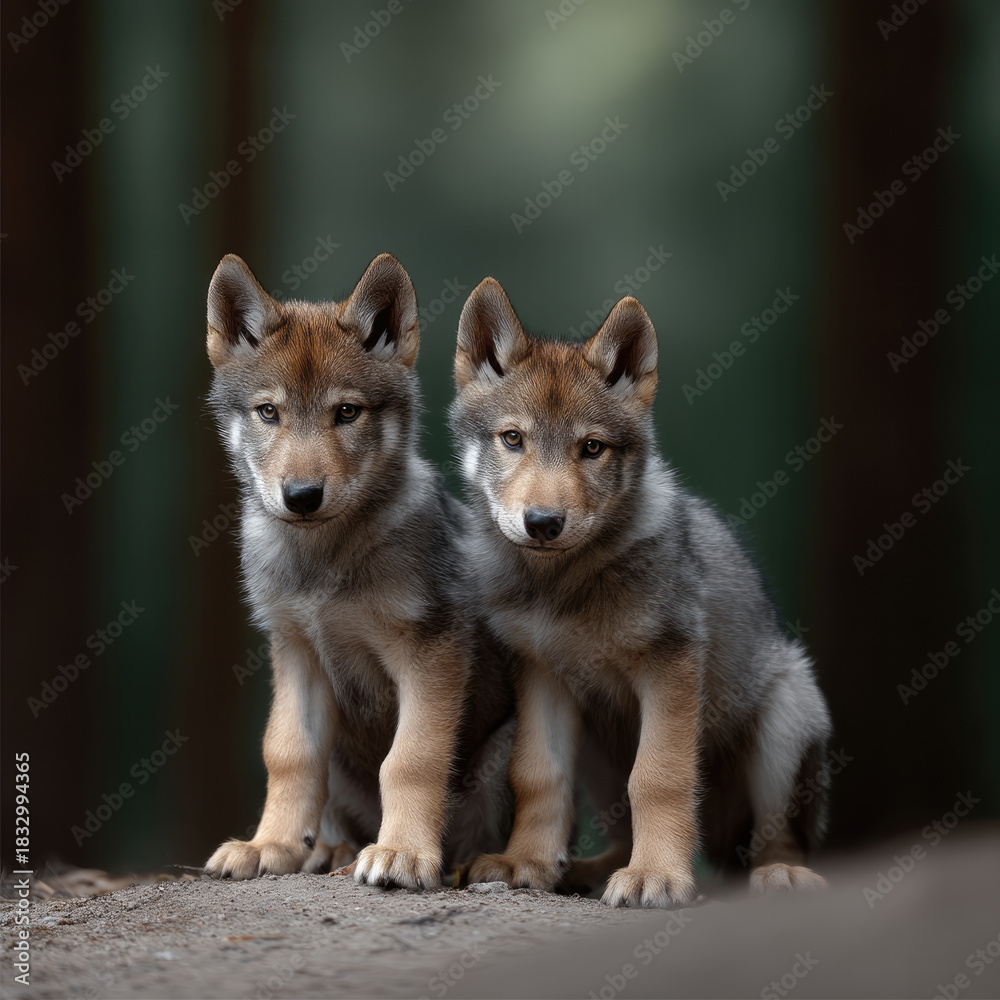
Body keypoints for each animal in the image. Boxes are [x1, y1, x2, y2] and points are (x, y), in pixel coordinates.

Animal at [202, 253, 513, 888]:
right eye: (268, 412)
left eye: (346, 412)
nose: (301, 496)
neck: (323, 563)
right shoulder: (296, 650)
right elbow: (288, 754)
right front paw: (268, 845)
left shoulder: (432, 650)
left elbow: (411, 759)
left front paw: (403, 854)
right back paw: (329, 852)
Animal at [451, 277, 833, 908]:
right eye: (512, 439)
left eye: (592, 448)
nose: (543, 523)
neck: (565, 585)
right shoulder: (543, 674)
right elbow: (538, 776)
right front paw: (525, 862)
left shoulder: (670, 665)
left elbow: (658, 778)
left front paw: (658, 877)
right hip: (598, 748)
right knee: (618, 828)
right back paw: (588, 871)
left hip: (785, 724)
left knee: (779, 838)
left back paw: (780, 874)